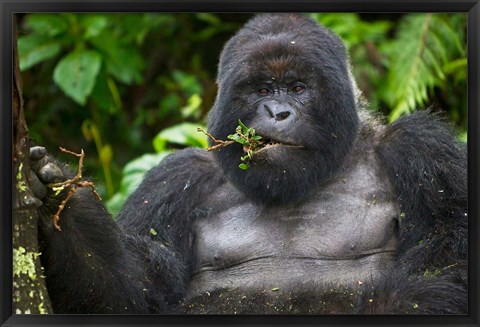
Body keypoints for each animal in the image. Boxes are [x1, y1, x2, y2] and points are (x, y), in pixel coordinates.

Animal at [29, 13, 464, 316]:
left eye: (298, 88)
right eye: (262, 90)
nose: (277, 112)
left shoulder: (421, 150)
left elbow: (445, 268)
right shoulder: (176, 179)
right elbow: (134, 293)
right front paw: (65, 205)